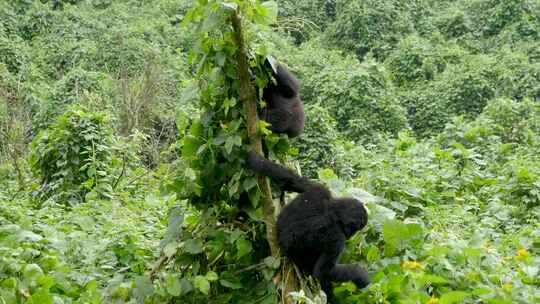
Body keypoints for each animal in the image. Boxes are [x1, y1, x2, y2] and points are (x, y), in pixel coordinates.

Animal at [247, 151, 370, 302]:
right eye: (354, 229)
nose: (350, 235)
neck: (332, 210)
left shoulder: (319, 190)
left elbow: (290, 180)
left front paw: (255, 159)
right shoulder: (337, 238)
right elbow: (322, 272)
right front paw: (360, 275)